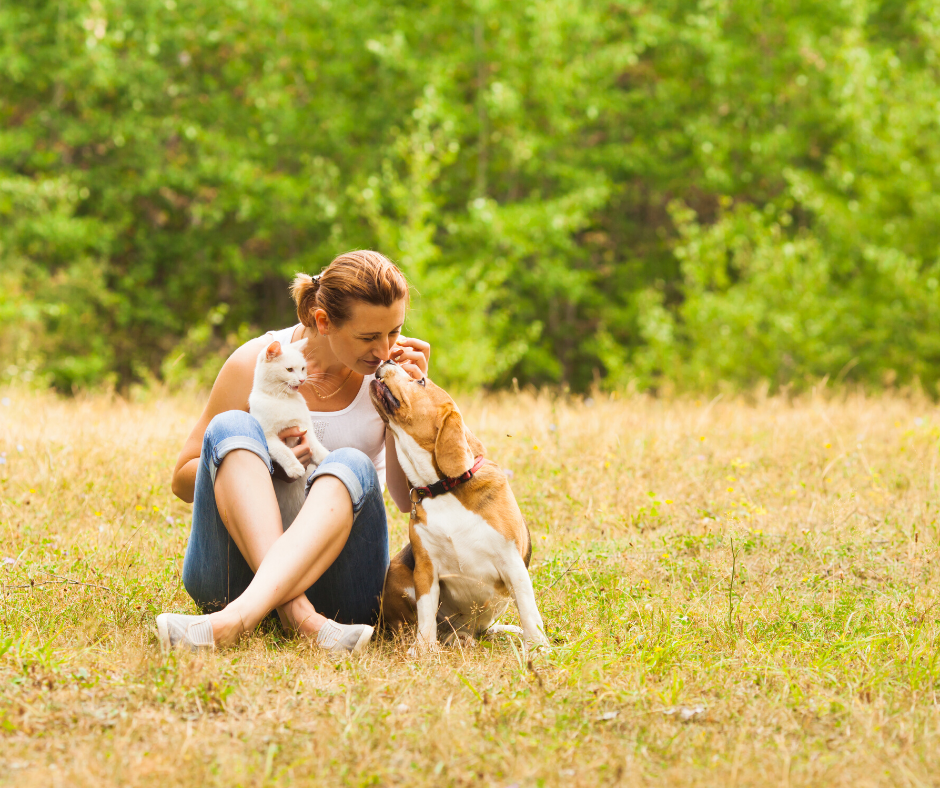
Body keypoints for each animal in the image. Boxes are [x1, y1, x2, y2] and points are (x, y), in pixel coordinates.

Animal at [250, 338, 330, 480]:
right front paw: (294, 467)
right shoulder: (268, 437)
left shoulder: (306, 429)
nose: (302, 379)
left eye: (303, 368)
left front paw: (328, 458)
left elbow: (317, 447)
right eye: (289, 369)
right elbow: (283, 451)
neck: (282, 398)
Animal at [370, 362, 552, 652]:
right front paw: (424, 649)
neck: (444, 487)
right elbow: (426, 614)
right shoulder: (425, 569)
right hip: (398, 573)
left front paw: (538, 648)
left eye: (421, 381)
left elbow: (528, 612)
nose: (388, 361)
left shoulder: (513, 564)